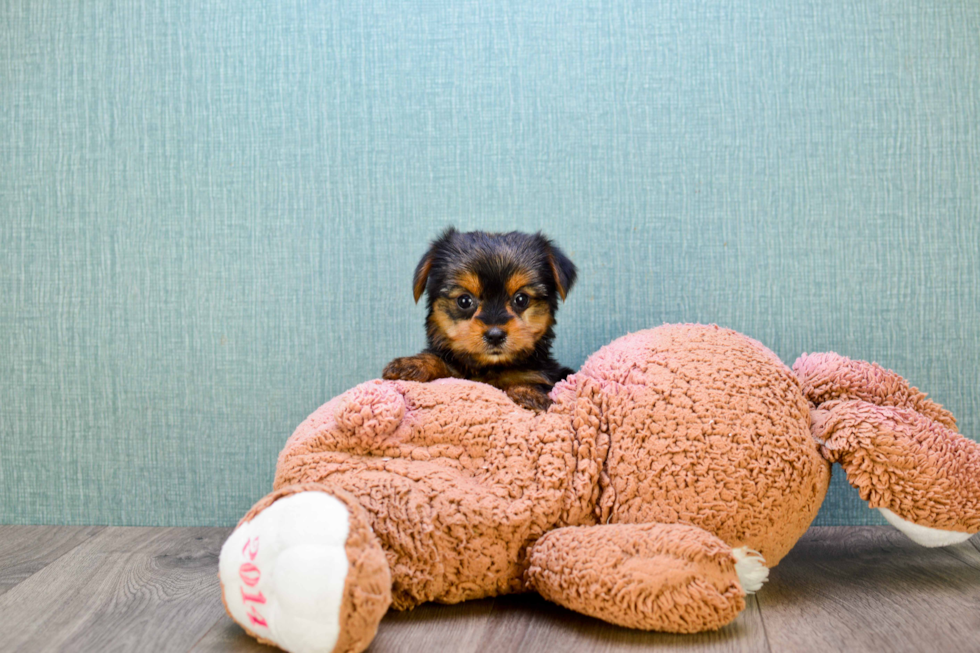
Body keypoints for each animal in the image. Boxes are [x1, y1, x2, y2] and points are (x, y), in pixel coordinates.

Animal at [382, 228, 580, 408]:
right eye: (464, 300)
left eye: (521, 299)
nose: (495, 335)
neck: (490, 368)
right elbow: (443, 364)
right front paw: (412, 364)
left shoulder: (546, 375)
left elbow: (529, 381)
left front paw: (528, 394)